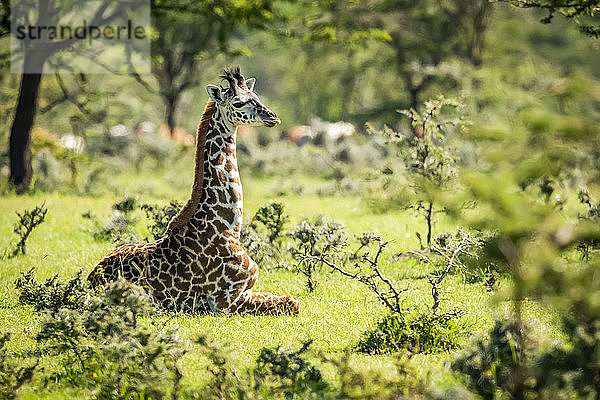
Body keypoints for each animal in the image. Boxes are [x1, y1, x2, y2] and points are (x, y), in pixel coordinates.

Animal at [88, 68, 300, 316]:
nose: (272, 117)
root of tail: (90, 280)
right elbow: (293, 303)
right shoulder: (226, 301)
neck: (229, 227)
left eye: (256, 97)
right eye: (238, 103)